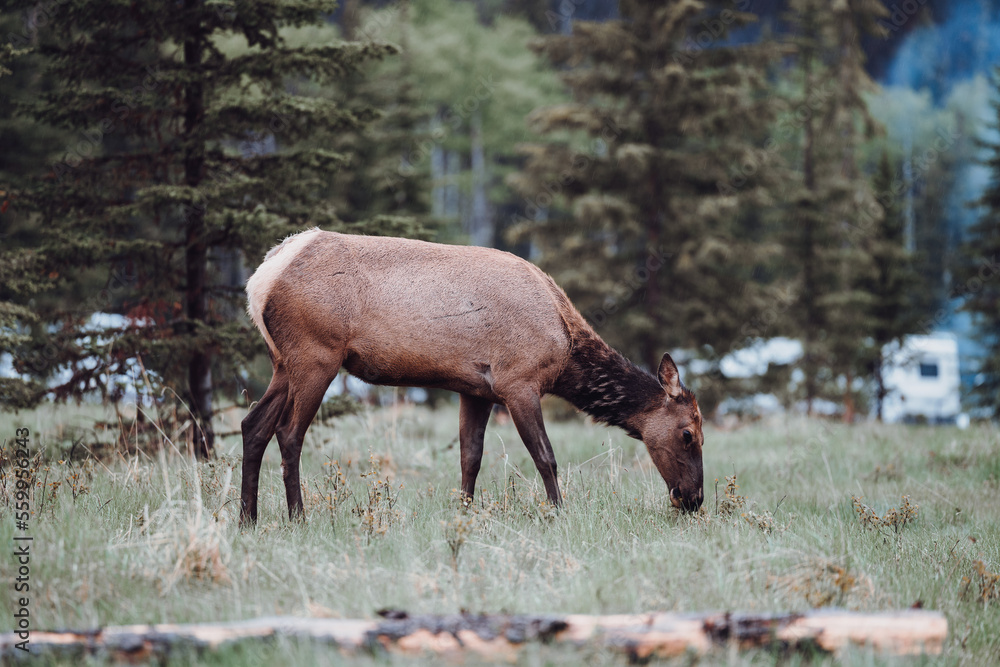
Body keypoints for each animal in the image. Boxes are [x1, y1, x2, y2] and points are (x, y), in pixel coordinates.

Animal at [240, 230, 704, 528]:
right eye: (688, 434)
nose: (694, 500)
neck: (565, 348)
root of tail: (258, 281)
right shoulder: (518, 381)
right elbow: (546, 456)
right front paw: (559, 514)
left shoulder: (475, 390)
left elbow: (470, 459)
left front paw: (463, 515)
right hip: (315, 354)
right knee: (288, 432)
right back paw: (298, 518)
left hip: (282, 362)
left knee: (253, 424)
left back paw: (247, 518)